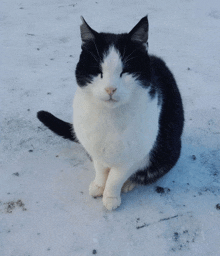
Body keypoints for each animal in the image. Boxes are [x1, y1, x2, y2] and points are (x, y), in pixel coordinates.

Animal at [37, 15, 184, 210]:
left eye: (126, 72)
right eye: (98, 71)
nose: (110, 89)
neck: (109, 116)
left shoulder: (134, 155)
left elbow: (116, 177)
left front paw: (111, 196)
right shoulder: (94, 148)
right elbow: (101, 170)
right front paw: (99, 186)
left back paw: (129, 184)